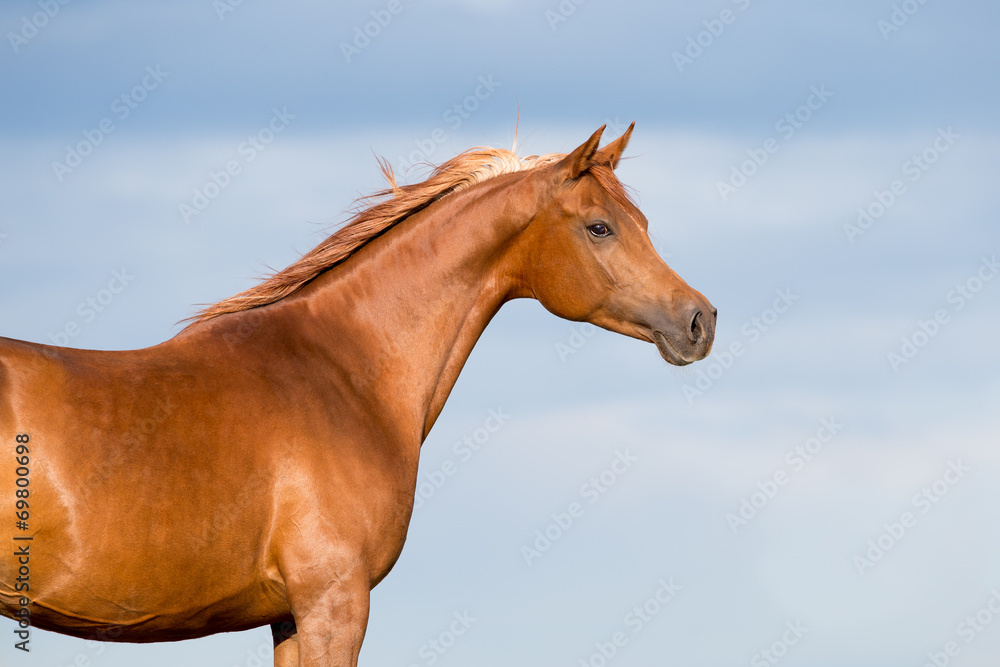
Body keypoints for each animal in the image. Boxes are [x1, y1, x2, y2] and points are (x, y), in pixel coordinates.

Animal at [1, 124, 720, 664]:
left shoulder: (291, 616)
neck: (345, 371)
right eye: (600, 227)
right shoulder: (333, 604)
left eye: (642, 220)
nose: (700, 320)